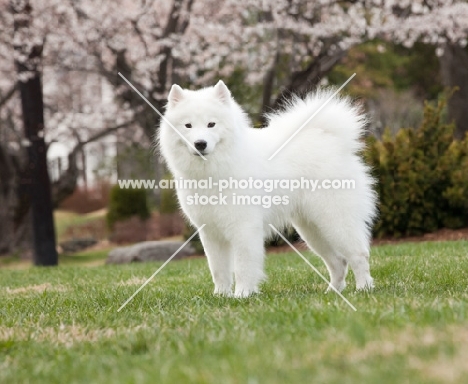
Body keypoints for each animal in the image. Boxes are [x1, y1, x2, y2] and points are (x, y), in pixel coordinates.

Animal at [159, 80, 378, 296]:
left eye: (211, 124)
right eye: (188, 125)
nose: (200, 144)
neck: (216, 169)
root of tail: (329, 138)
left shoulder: (244, 228)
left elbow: (243, 266)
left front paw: (242, 295)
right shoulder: (211, 233)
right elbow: (218, 270)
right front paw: (221, 296)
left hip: (335, 220)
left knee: (359, 255)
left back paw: (363, 288)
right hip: (312, 229)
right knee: (338, 262)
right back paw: (332, 292)